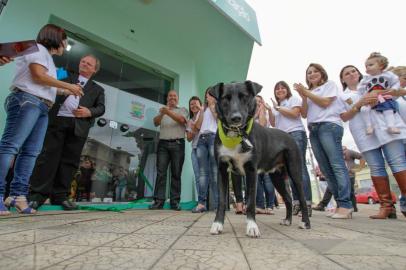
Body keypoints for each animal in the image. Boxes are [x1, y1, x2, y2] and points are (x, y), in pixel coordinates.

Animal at [209, 79, 310, 236]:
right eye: (225, 98)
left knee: (302, 197)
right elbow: (221, 201)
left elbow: (251, 202)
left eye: (244, 96)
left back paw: (305, 222)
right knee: (287, 198)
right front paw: (218, 224)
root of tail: (288, 136)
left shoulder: (251, 171)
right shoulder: (222, 169)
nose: (236, 118)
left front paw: (252, 226)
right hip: (277, 177)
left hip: (295, 172)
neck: (236, 135)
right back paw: (287, 220)